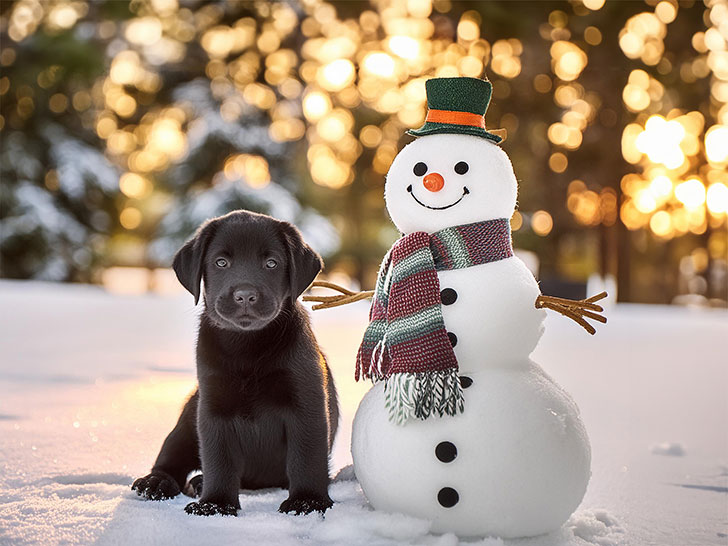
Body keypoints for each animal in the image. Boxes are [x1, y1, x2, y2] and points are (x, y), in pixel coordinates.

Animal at [132, 208, 338, 516]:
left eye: (271, 263)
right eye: (221, 262)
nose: (245, 296)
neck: (247, 349)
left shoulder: (306, 401)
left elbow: (306, 456)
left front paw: (308, 500)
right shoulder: (214, 408)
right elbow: (219, 460)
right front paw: (215, 504)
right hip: (188, 419)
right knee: (171, 457)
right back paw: (157, 482)